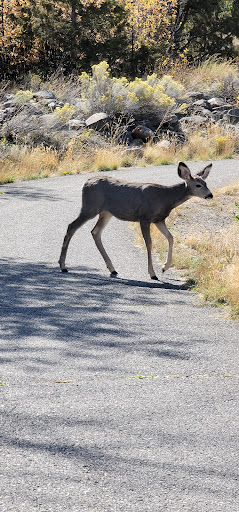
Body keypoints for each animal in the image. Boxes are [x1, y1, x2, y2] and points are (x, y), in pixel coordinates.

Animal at [59, 161, 213, 280]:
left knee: (95, 231)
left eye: (206, 183)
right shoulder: (144, 217)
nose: (210, 195)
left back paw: (112, 268)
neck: (165, 198)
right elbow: (149, 243)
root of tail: (85, 183)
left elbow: (170, 237)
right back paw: (63, 265)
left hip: (106, 212)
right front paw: (152, 273)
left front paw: (165, 267)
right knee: (71, 226)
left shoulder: (159, 220)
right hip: (90, 207)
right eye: (198, 185)